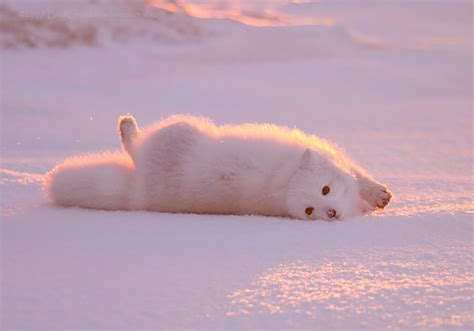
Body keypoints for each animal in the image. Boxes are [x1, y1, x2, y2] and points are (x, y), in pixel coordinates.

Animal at [45, 115, 392, 222]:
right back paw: (126, 125)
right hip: (182, 129)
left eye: (325, 190)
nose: (331, 213)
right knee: (133, 145)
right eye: (310, 209)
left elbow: (360, 178)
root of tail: (134, 193)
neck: (282, 178)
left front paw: (379, 195)